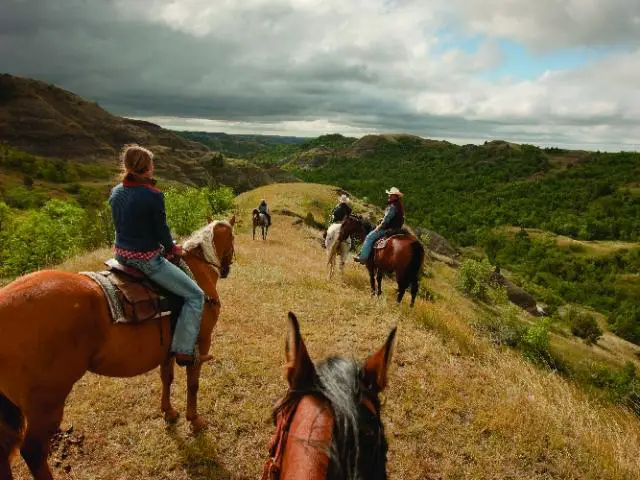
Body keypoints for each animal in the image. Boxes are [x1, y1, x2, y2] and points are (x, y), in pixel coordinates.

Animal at [0, 217, 236, 480]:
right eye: (233, 237)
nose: (226, 269)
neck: (197, 270)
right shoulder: (201, 342)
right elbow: (193, 384)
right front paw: (194, 420)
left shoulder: (167, 348)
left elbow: (167, 378)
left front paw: (168, 412)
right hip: (46, 404)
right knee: (33, 452)